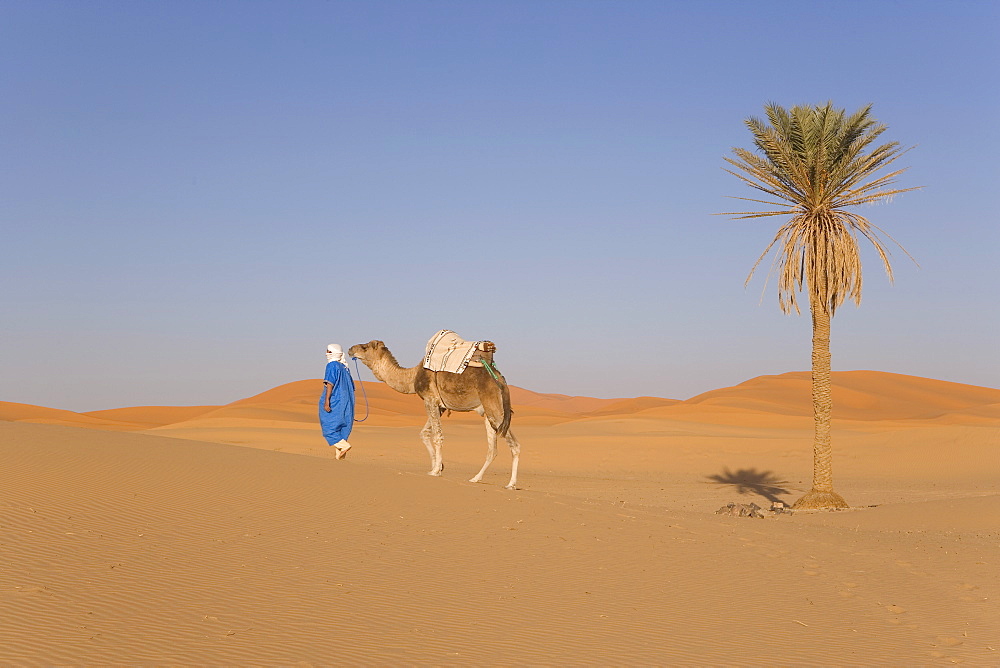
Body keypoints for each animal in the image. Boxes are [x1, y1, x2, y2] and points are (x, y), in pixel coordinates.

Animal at [350, 342, 524, 488]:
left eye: (365, 347)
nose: (351, 349)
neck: (412, 375)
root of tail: (501, 379)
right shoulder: (439, 406)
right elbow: (425, 433)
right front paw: (438, 466)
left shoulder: (430, 399)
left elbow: (437, 436)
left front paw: (435, 471)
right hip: (488, 413)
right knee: (492, 449)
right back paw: (476, 478)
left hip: (495, 408)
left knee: (514, 444)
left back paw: (511, 484)